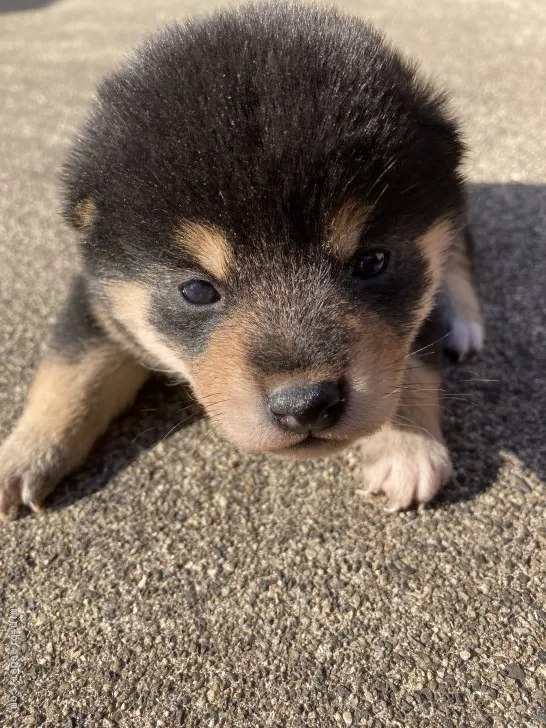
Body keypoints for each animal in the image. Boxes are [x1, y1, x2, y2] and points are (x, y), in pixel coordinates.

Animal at [1, 1, 484, 516]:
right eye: (196, 290)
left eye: (371, 262)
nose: (305, 405)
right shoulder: (96, 297)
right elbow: (71, 371)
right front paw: (25, 454)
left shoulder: (421, 281)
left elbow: (413, 351)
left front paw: (407, 446)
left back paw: (465, 323)